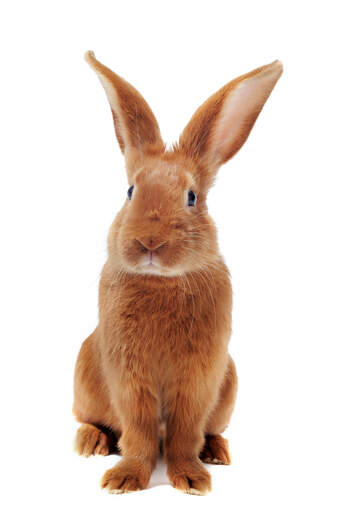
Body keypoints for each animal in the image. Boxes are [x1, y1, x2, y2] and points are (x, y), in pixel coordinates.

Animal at [72, 50, 282, 494]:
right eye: (130, 191)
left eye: (191, 197)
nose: (150, 243)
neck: (162, 283)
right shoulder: (129, 377)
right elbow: (137, 431)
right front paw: (124, 480)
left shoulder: (199, 378)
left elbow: (186, 432)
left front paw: (191, 478)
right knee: (88, 418)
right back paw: (90, 442)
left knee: (210, 430)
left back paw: (217, 452)